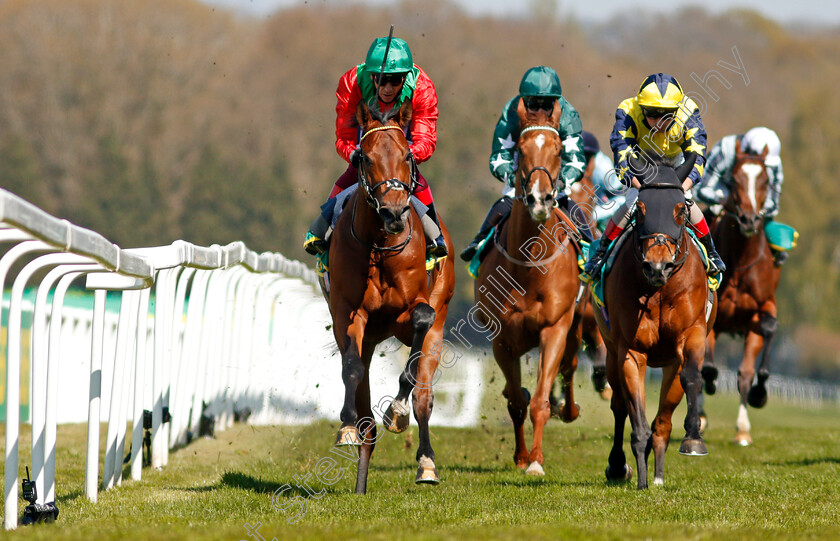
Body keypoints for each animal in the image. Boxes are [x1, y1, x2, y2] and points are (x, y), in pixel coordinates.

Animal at [320, 98, 452, 494]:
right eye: (365, 157)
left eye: (408, 155)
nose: (394, 211)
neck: (379, 244)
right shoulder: (349, 313)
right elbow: (351, 368)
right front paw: (346, 427)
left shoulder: (413, 314)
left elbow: (420, 325)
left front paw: (396, 408)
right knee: (364, 399)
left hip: (436, 325)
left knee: (423, 398)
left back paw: (426, 463)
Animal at [592, 152, 720, 490]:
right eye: (641, 209)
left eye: (680, 209)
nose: (657, 266)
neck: (661, 289)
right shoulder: (631, 351)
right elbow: (633, 415)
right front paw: (639, 475)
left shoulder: (691, 336)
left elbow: (691, 379)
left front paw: (693, 439)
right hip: (611, 352)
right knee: (619, 405)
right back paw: (619, 466)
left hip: (669, 363)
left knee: (662, 419)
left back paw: (659, 470)